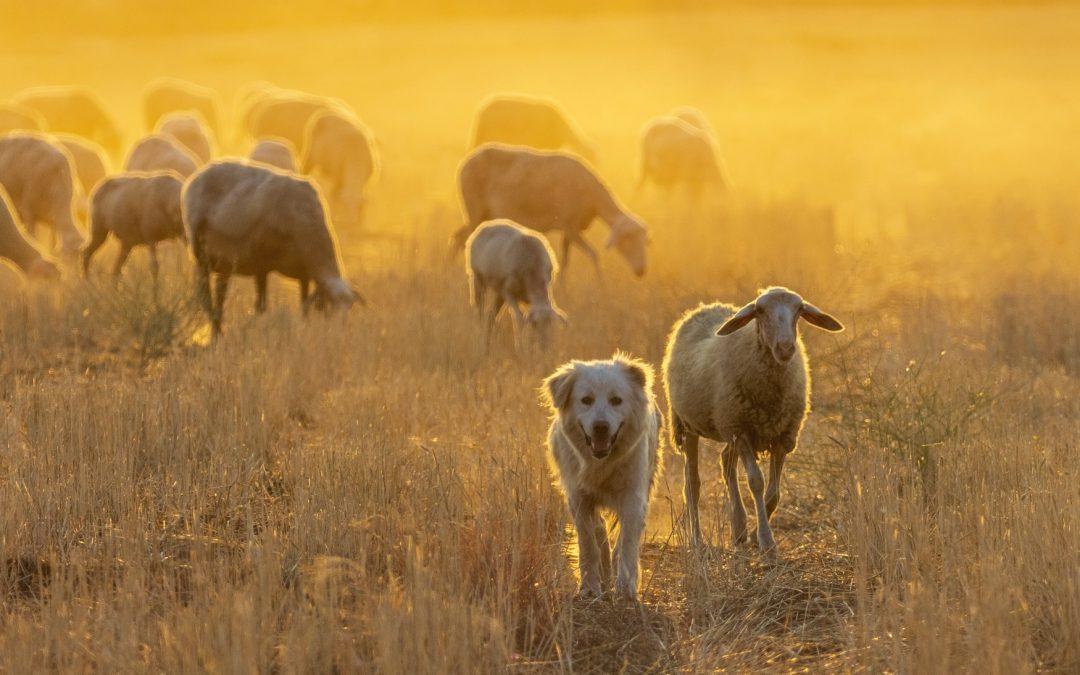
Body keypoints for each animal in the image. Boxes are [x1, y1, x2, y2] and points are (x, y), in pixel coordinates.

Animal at [180, 160, 358, 334]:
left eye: (350, 309)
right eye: (332, 307)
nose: (340, 334)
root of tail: (198, 175)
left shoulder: (304, 273)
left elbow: (304, 306)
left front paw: (304, 327)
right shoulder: (261, 264)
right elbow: (261, 306)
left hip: (223, 262)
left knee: (219, 296)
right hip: (200, 255)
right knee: (205, 297)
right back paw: (216, 332)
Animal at [455, 143, 648, 278]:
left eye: (644, 241)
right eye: (626, 239)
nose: (641, 271)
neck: (592, 198)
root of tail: (463, 165)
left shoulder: (568, 229)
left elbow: (565, 261)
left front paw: (563, 290)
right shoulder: (570, 225)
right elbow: (593, 254)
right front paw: (602, 287)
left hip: (482, 214)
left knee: (458, 237)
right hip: (475, 209)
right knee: (460, 239)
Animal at [544, 352, 660, 600]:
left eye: (616, 400)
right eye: (586, 400)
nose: (600, 427)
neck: (601, 462)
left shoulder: (633, 496)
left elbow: (627, 543)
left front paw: (626, 588)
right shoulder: (578, 497)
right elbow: (588, 542)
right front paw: (589, 587)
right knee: (599, 529)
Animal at [656, 285, 842, 552]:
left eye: (799, 310)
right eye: (760, 311)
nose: (786, 348)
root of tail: (706, 307)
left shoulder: (783, 436)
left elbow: (774, 492)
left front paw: (754, 535)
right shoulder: (742, 432)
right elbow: (756, 482)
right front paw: (766, 540)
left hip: (728, 426)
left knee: (725, 461)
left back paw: (739, 528)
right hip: (691, 424)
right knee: (692, 484)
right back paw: (697, 539)